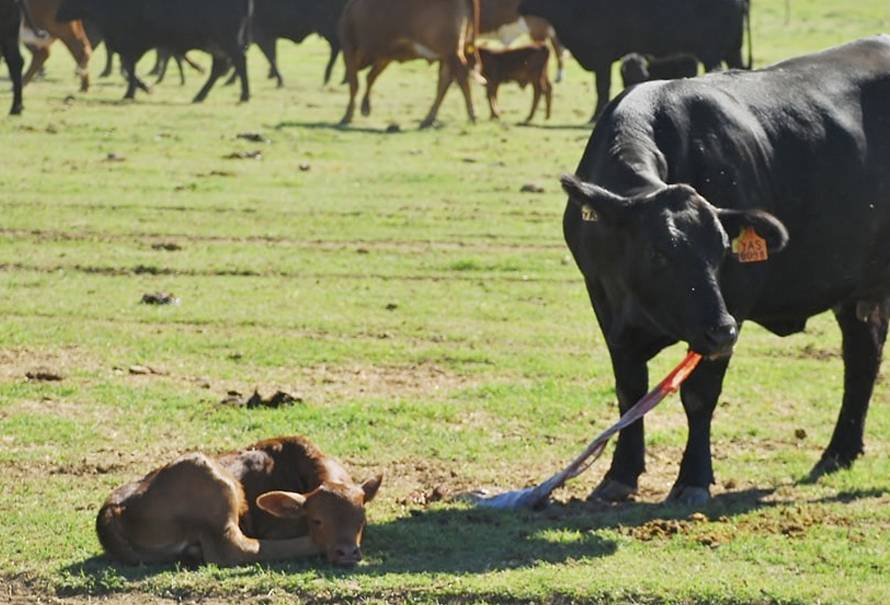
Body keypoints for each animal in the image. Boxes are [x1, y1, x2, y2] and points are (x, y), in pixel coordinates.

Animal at [57, 0, 253, 101]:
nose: (58, 15)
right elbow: (128, 68)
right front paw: (143, 88)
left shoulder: (131, 44)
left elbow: (129, 67)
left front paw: (132, 92)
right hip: (216, 43)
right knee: (220, 66)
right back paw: (200, 95)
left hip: (225, 39)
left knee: (238, 60)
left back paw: (244, 94)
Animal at [97, 434, 382, 568]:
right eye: (317, 520)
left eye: (361, 520)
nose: (346, 552)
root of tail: (111, 510)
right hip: (213, 479)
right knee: (234, 549)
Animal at [338, 0, 482, 127]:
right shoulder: (385, 55)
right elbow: (371, 77)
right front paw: (365, 106)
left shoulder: (349, 46)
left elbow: (354, 84)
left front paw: (347, 115)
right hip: (447, 55)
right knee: (445, 81)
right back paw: (428, 119)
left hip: (450, 50)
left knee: (460, 76)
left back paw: (471, 115)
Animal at [516, 0, 752, 121]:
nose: (520, 7)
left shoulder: (602, 57)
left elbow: (602, 87)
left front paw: (595, 116)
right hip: (733, 51)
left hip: (713, 52)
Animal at [560, 34, 888, 504]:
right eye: (658, 253)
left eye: (721, 253)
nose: (722, 331)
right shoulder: (606, 304)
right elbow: (629, 391)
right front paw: (619, 474)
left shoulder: (732, 302)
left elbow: (699, 395)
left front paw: (693, 479)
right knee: (863, 353)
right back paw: (837, 453)